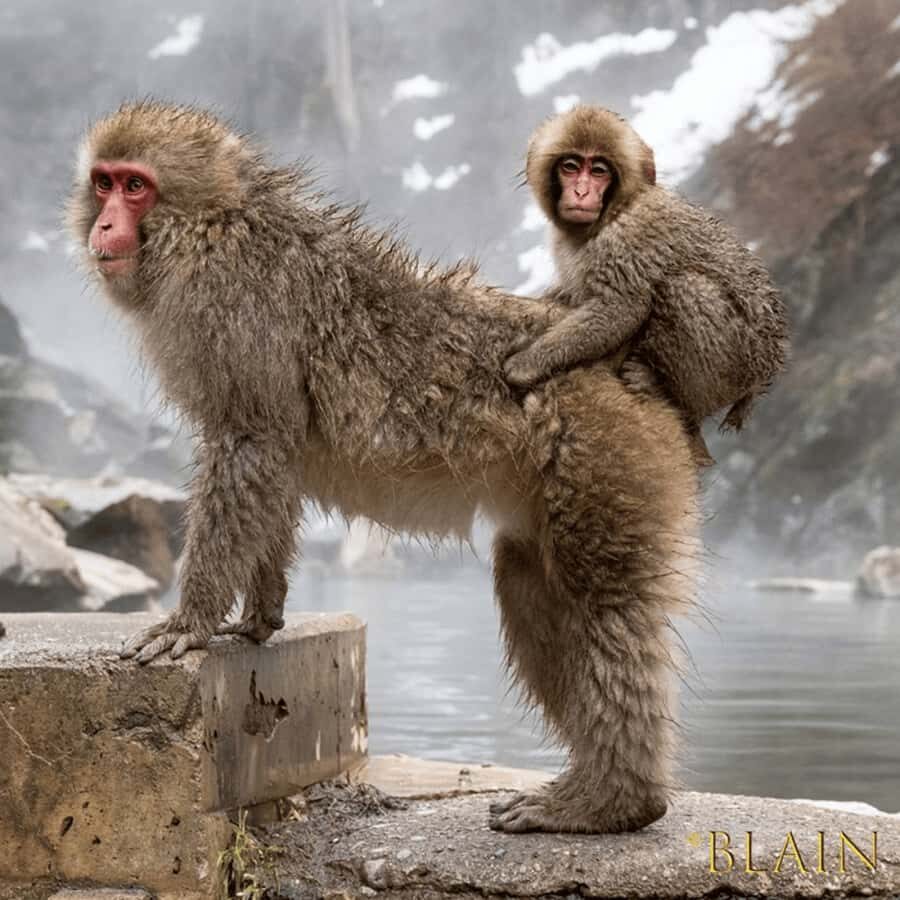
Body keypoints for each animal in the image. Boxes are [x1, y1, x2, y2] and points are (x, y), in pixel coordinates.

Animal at [69, 101, 700, 835]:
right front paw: (261, 615)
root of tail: (638, 374)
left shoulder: (231, 307)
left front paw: (190, 621)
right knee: (530, 580)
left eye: (135, 186)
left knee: (602, 604)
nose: (105, 223)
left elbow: (253, 440)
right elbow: (278, 459)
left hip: (605, 452)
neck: (213, 226)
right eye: (104, 182)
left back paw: (614, 802)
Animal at [505, 105, 789, 463]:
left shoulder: (626, 238)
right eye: (570, 167)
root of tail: (765, 372)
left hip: (738, 365)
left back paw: (669, 393)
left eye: (598, 171)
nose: (581, 192)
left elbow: (620, 309)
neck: (613, 212)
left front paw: (527, 363)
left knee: (687, 289)